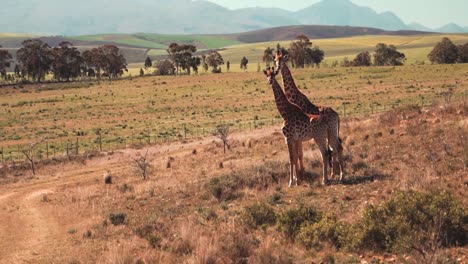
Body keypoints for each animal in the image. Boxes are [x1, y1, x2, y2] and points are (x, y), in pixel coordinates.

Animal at [274, 48, 344, 183]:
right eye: (275, 60)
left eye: (282, 60)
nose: (277, 67)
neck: (293, 98)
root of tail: (337, 115)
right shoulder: (298, 135)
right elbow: (299, 155)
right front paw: (300, 176)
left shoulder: (297, 134)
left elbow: (298, 155)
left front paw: (299, 177)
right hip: (331, 132)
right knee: (334, 148)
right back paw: (334, 174)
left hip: (330, 132)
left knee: (335, 148)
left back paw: (337, 175)